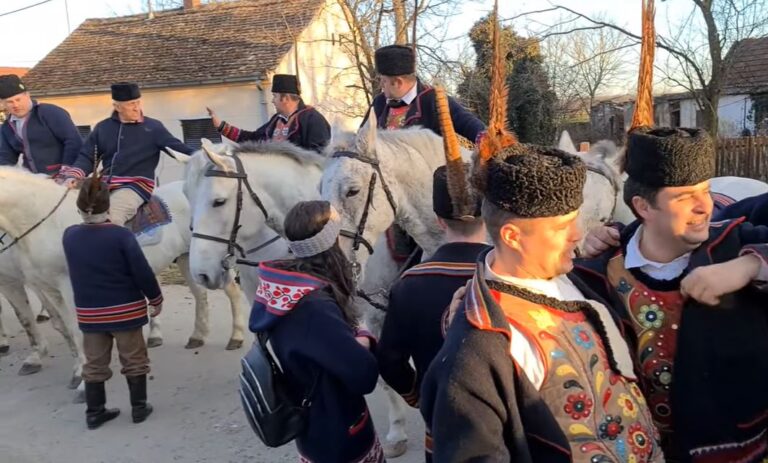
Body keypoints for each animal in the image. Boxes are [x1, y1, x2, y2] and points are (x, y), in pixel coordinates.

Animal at [0, 169, 246, 394]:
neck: (45, 220)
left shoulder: (67, 288)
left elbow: (76, 331)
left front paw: (83, 382)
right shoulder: (47, 288)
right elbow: (62, 327)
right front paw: (75, 371)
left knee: (233, 292)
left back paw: (236, 337)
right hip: (187, 258)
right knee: (199, 294)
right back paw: (197, 336)